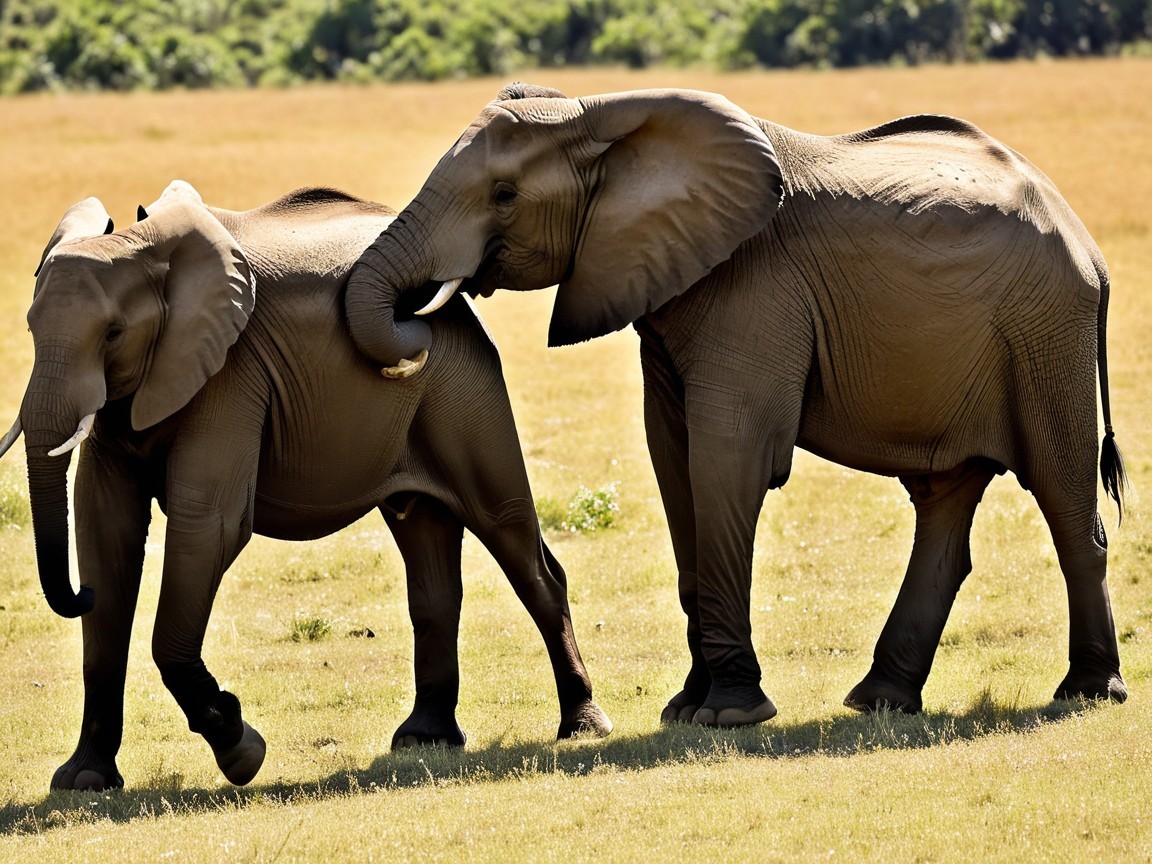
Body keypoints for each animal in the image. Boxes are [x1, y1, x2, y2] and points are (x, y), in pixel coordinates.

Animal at [1, 180, 611, 791]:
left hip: (462, 383)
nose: (78, 595)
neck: (143, 248)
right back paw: (425, 741)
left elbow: (212, 523)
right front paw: (84, 780)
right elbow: (105, 530)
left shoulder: (232, 374)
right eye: (29, 328)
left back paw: (582, 725)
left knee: (513, 538)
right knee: (428, 551)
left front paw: (243, 752)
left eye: (113, 333)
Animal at [344, 83, 1129, 726]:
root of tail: (1090, 248)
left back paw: (1087, 693)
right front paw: (684, 710)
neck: (602, 114)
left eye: (504, 194)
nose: (420, 321)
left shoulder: (753, 287)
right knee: (944, 501)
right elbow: (673, 461)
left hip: (1046, 334)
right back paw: (880, 700)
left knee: (1062, 497)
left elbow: (728, 456)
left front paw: (727, 714)